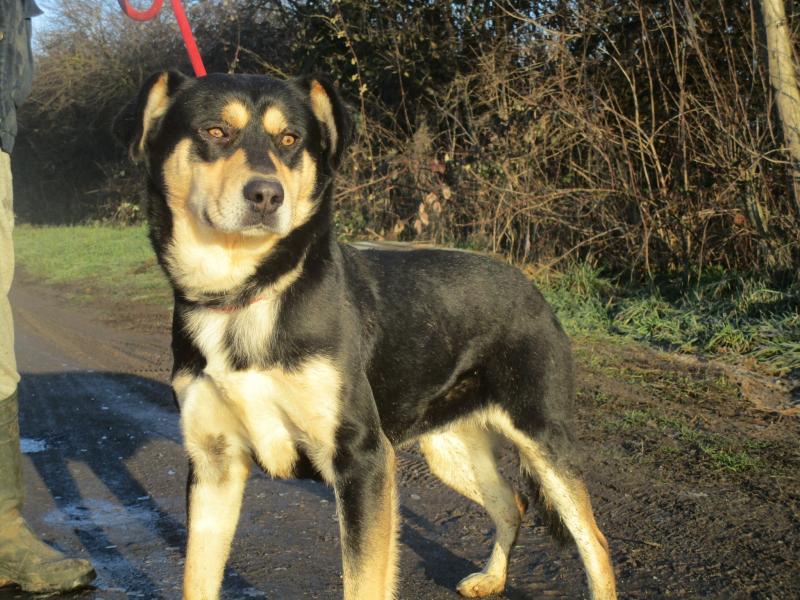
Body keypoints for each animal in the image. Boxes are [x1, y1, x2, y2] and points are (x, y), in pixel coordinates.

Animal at [115, 71, 617, 600]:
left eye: (290, 140)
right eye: (215, 131)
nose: (267, 196)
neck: (245, 292)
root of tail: (529, 284)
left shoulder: (362, 459)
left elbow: (363, 582)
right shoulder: (214, 464)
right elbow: (197, 578)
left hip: (543, 437)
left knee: (594, 541)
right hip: (449, 446)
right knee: (511, 503)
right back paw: (491, 579)